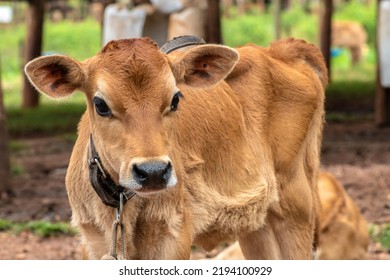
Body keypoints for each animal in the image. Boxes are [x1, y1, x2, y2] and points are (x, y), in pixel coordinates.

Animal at [24, 36, 328, 260]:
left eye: (175, 99)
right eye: (100, 104)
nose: (153, 172)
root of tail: (280, 50)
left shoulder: (173, 235)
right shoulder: (93, 240)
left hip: (295, 204)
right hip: (258, 223)